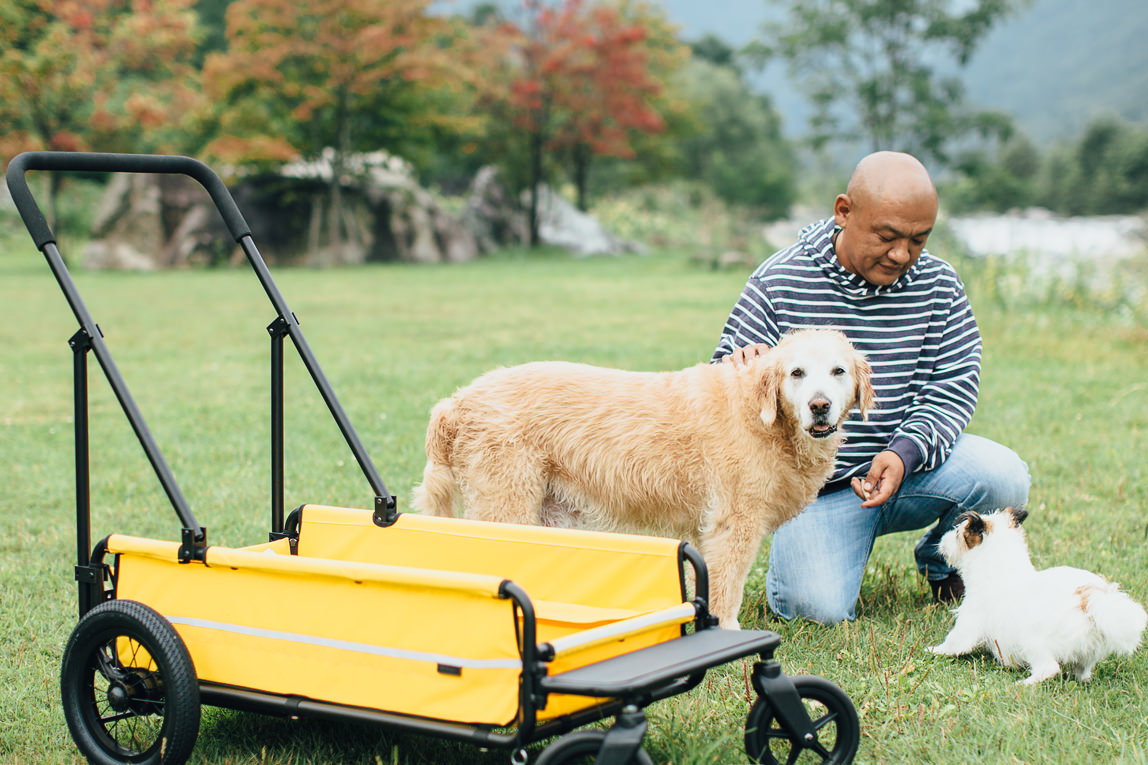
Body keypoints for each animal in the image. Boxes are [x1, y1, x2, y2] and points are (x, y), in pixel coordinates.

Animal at [410, 328, 867, 624]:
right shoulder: (732, 525)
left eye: (838, 371)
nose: (820, 406)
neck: (764, 417)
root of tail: (457, 400)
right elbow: (725, 590)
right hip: (505, 506)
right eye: (797, 373)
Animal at [927, 510, 1143, 680]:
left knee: (1049, 669)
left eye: (957, 533)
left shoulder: (969, 621)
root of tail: (1093, 600)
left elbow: (954, 643)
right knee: (1082, 670)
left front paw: (934, 650)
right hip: (1085, 653)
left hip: (1032, 641)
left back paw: (1025, 684)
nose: (942, 539)